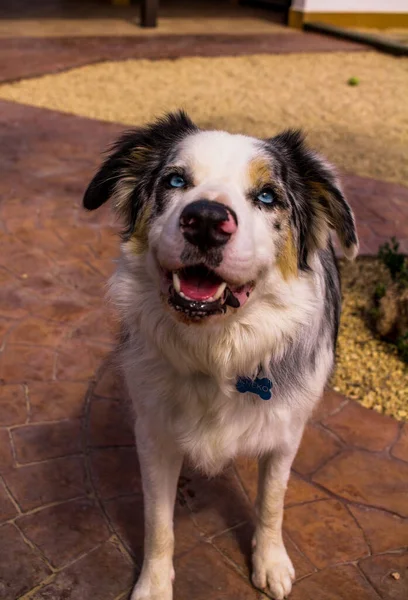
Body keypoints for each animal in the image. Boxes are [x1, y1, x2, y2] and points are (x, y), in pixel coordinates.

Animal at [83, 112, 356, 600]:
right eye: (176, 180)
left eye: (267, 196)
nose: (206, 219)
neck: (217, 350)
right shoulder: (154, 434)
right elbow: (158, 521)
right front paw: (154, 584)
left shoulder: (285, 435)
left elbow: (272, 502)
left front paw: (270, 561)